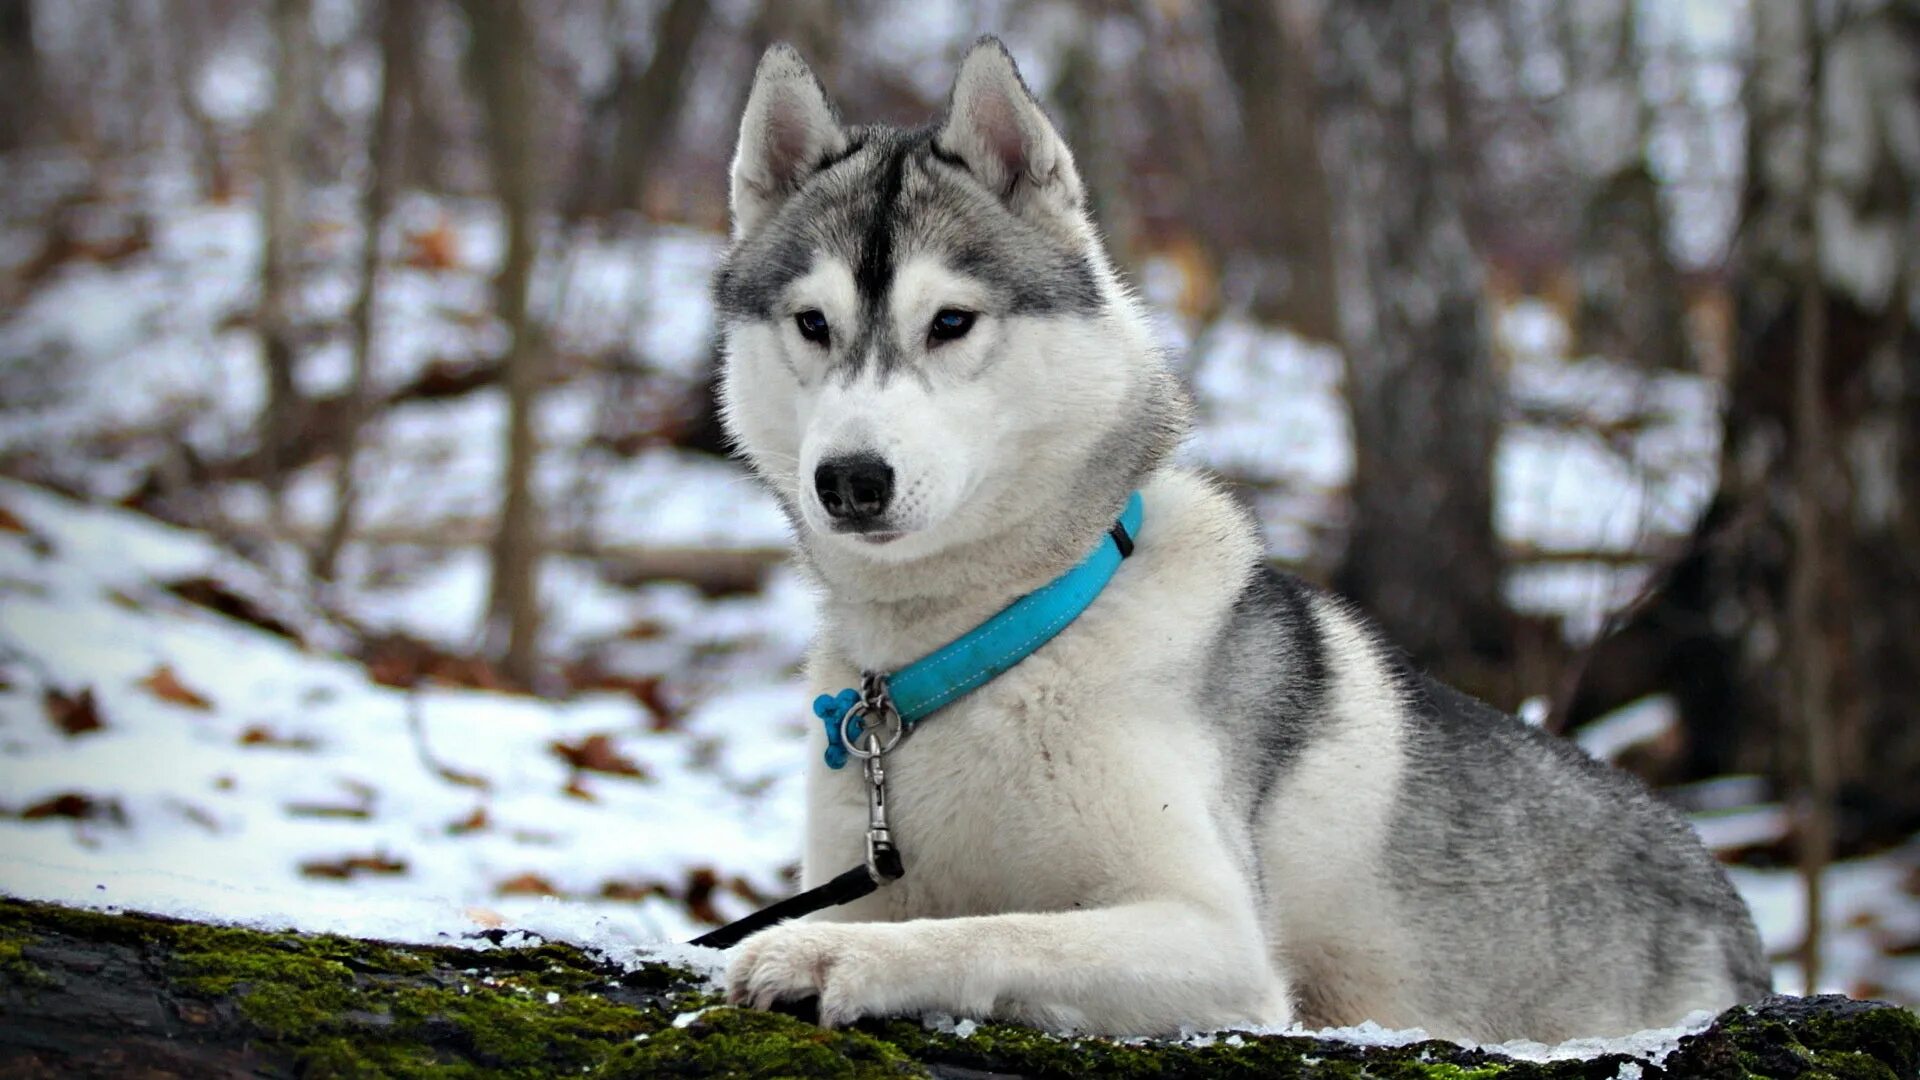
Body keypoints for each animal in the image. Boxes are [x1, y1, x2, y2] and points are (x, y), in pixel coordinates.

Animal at [718, 37, 1766, 1037]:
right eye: (812, 323)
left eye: (950, 322)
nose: (851, 479)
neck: (973, 652)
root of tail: (1734, 913)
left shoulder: (1213, 937)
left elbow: (991, 930)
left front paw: (828, 958)